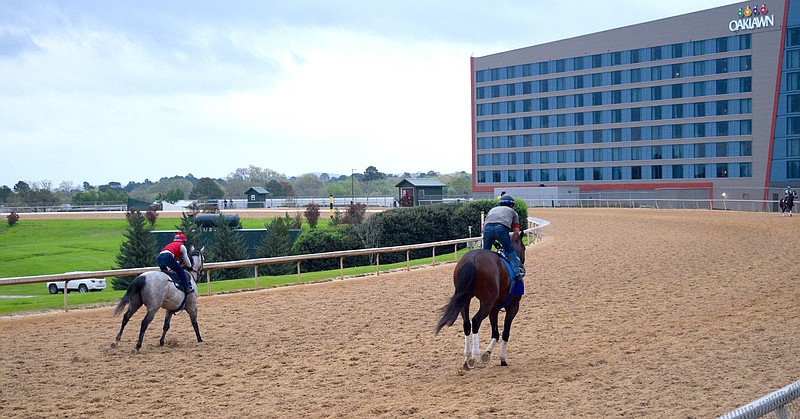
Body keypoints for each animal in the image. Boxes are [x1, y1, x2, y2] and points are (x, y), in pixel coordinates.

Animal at [434, 235, 528, 370]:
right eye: (524, 247)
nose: (523, 264)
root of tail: (472, 258)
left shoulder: (494, 308)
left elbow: (495, 333)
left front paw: (487, 354)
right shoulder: (513, 307)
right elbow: (505, 332)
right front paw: (502, 358)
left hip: (465, 299)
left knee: (467, 324)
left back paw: (467, 357)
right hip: (486, 303)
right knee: (475, 321)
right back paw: (474, 355)